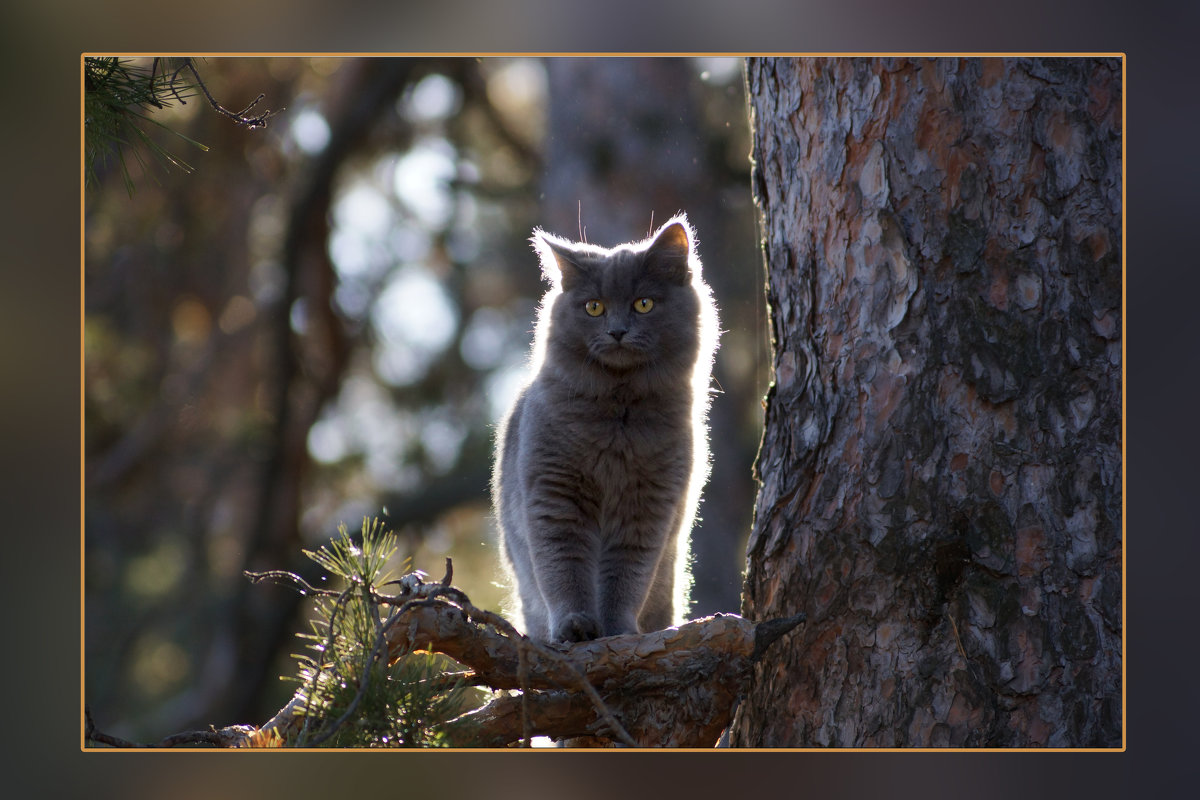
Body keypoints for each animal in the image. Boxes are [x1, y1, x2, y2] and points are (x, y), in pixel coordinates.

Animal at [489, 212, 715, 642]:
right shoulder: (554, 496)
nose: (617, 331)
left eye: (643, 303)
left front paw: (618, 631)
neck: (617, 419)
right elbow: (565, 570)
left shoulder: (647, 509)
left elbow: (625, 579)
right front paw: (575, 625)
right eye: (594, 307)